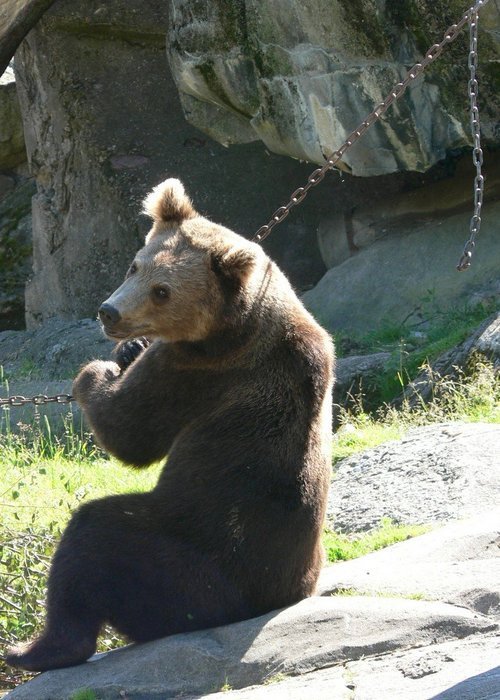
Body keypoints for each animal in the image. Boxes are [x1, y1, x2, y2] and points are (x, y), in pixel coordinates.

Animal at [6, 178, 334, 672]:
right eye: (134, 265)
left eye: (162, 291)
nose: (109, 313)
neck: (238, 320)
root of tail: (268, 601)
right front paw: (127, 351)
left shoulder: (196, 371)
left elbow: (131, 431)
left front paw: (96, 373)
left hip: (190, 568)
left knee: (95, 539)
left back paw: (36, 649)